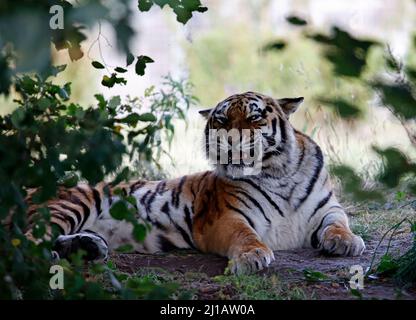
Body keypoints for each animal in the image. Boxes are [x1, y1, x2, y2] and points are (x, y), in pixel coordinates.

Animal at [24, 90, 366, 276]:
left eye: (254, 118)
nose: (230, 141)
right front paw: (252, 257)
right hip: (68, 204)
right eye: (221, 120)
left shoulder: (328, 208)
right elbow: (245, 235)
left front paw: (347, 242)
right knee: (25, 240)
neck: (277, 173)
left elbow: (339, 223)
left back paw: (88, 247)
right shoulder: (226, 216)